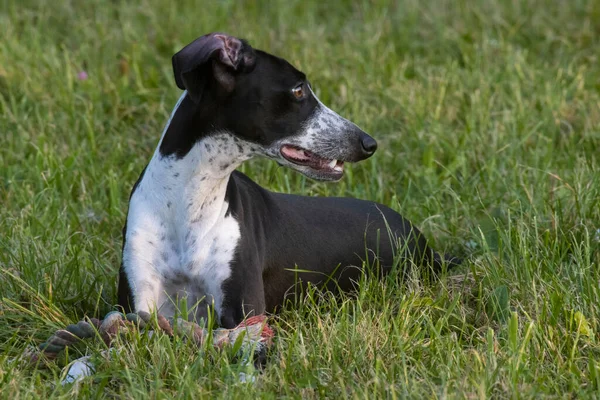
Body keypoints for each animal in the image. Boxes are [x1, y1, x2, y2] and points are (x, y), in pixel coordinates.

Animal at [118, 33, 460, 328]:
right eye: (298, 90)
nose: (369, 143)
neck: (188, 202)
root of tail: (425, 246)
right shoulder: (137, 303)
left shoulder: (243, 310)